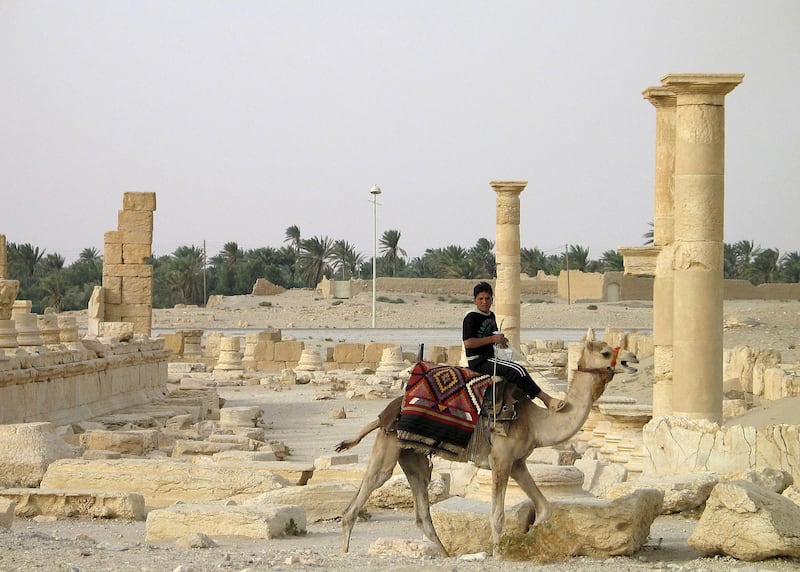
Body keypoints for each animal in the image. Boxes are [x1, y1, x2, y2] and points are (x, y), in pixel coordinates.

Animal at [334, 338, 640, 556]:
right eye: (605, 352)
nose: (633, 359)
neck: (535, 421)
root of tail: (385, 412)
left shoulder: (518, 463)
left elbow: (544, 508)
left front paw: (526, 540)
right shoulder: (501, 460)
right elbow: (497, 516)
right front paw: (498, 553)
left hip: (413, 457)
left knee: (423, 513)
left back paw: (445, 554)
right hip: (389, 446)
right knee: (368, 489)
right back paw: (345, 550)